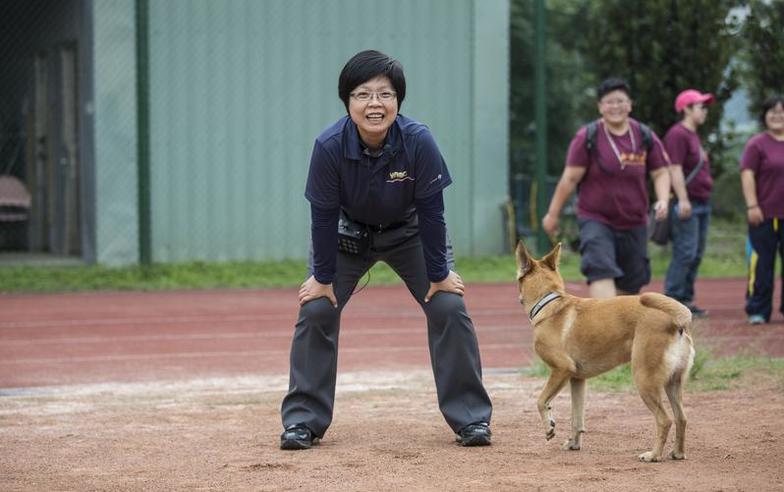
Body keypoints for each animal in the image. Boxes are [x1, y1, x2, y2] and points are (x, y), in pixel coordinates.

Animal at [516, 240, 696, 464]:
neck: (550, 303)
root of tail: (675, 321)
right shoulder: (577, 379)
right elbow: (577, 418)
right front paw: (574, 444)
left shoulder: (561, 370)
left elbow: (541, 401)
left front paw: (549, 427)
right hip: (673, 383)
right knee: (682, 418)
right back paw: (678, 453)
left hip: (644, 380)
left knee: (665, 420)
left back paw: (653, 455)